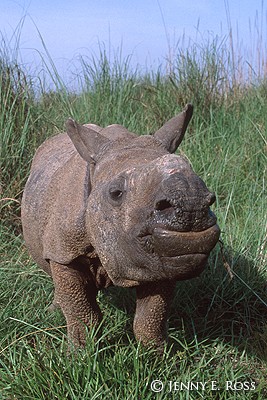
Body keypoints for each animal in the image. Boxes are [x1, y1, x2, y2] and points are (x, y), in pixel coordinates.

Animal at [22, 104, 221, 348]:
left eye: (210, 197)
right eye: (116, 193)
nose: (191, 204)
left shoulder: (166, 253)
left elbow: (151, 315)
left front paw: (156, 352)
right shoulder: (64, 250)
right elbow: (81, 309)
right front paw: (81, 352)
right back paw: (54, 311)